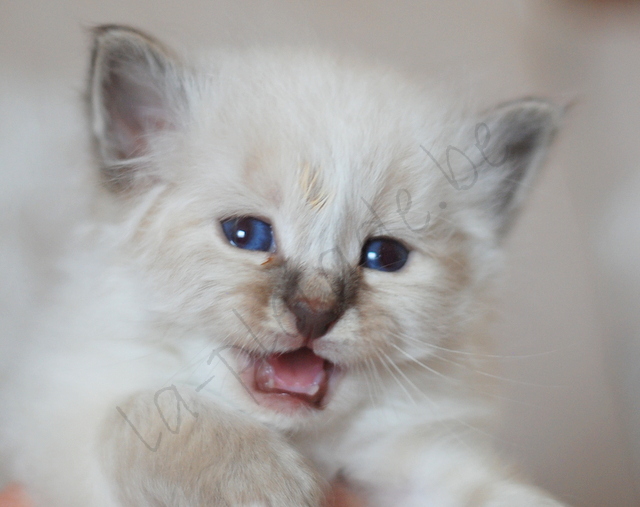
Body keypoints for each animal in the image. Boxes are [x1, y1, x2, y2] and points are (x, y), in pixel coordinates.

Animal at [0, 24, 564, 507]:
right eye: (246, 235)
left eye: (385, 256)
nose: (314, 312)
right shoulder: (61, 417)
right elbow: (141, 417)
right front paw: (271, 485)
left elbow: (494, 493)